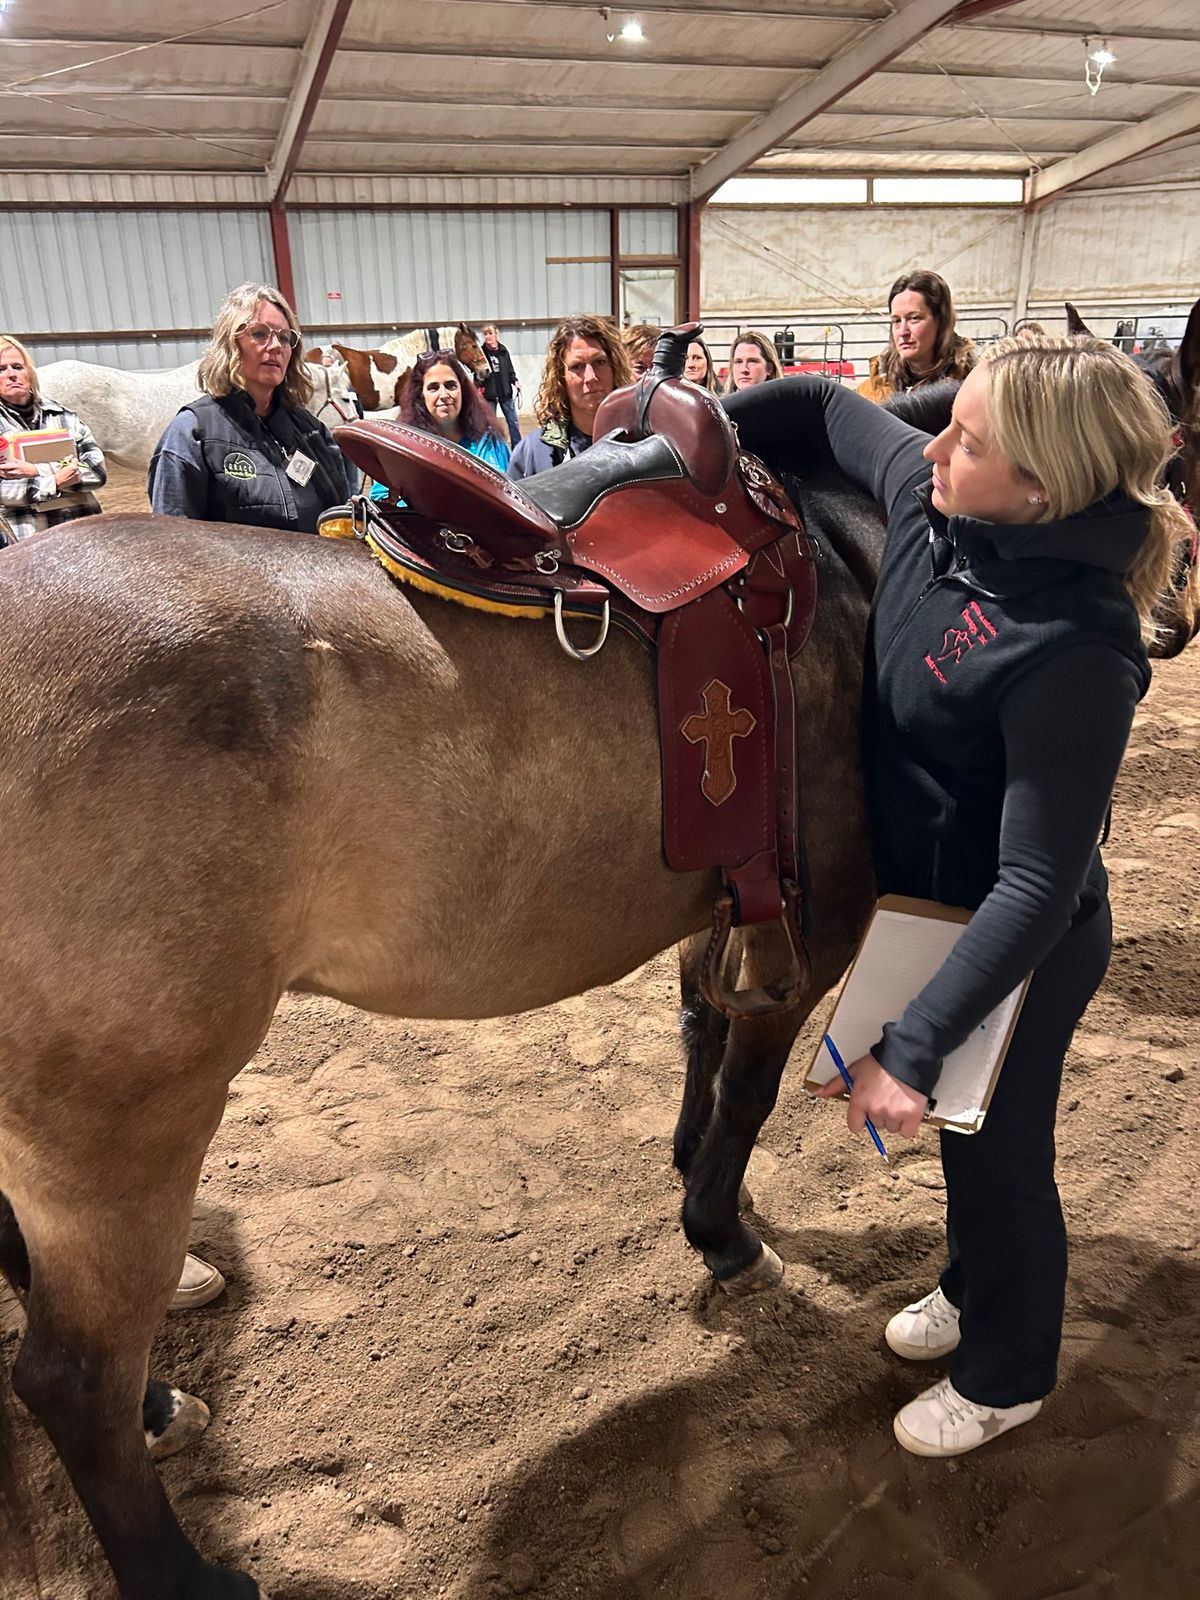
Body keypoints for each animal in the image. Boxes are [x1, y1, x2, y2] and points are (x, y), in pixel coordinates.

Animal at [0, 457, 883, 1593]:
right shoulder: (816, 928)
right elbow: (749, 1089)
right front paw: (723, 1234)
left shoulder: (725, 909)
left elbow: (701, 1029)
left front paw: (689, 1170)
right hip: (121, 1134)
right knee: (72, 1378)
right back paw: (183, 1572)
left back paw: (160, 1410)